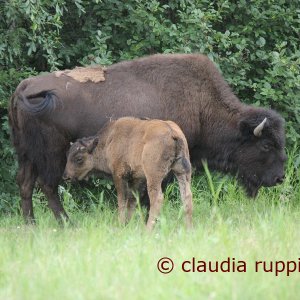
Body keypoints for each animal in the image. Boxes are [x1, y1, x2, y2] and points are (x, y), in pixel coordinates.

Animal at [63, 117, 195, 230]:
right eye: (67, 156)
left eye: (79, 158)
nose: (66, 177)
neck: (108, 141)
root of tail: (173, 133)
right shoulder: (136, 179)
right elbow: (131, 202)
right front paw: (127, 224)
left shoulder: (120, 176)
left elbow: (122, 201)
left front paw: (121, 224)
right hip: (182, 172)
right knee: (187, 196)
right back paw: (188, 229)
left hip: (153, 177)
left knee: (157, 199)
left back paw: (148, 230)